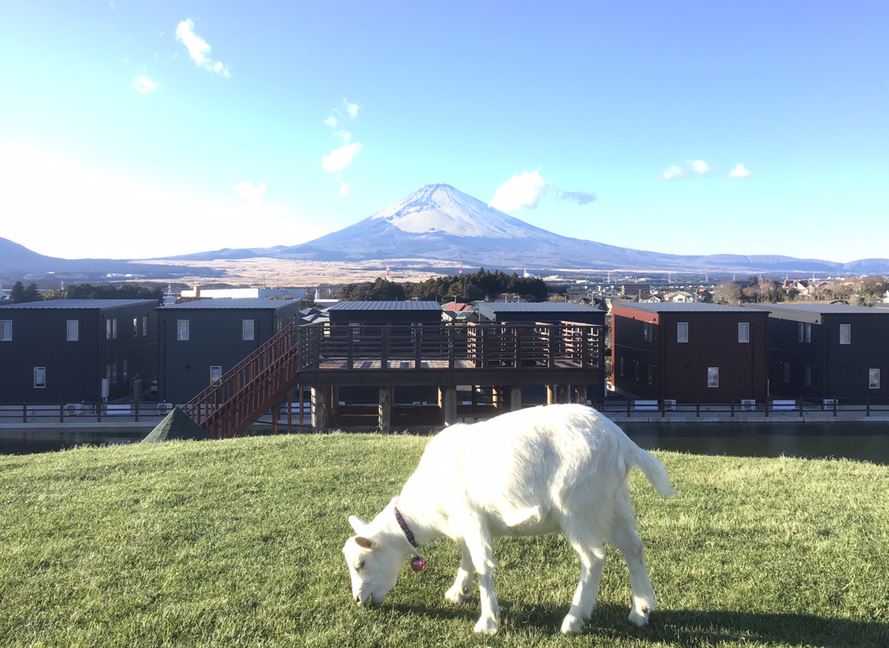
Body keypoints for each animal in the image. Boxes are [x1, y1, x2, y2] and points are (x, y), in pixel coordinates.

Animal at [342, 402, 672, 636]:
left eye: (361, 564)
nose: (359, 601)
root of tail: (623, 442)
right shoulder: (469, 524)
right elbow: (468, 559)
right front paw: (456, 593)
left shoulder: (472, 517)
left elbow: (482, 565)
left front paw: (487, 623)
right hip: (613, 502)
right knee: (633, 547)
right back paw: (641, 611)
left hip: (577, 507)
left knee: (594, 558)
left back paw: (573, 620)